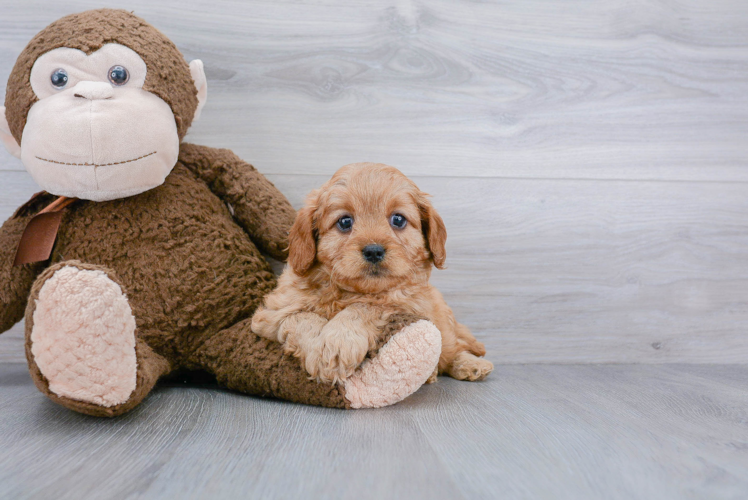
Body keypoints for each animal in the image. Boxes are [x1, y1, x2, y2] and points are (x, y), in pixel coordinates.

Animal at [251, 163, 494, 382]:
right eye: (344, 221)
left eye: (398, 219)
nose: (374, 251)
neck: (347, 292)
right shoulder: (270, 314)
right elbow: (301, 317)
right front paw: (322, 352)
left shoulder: (406, 303)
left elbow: (366, 307)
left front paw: (339, 341)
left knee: (452, 348)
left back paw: (470, 364)